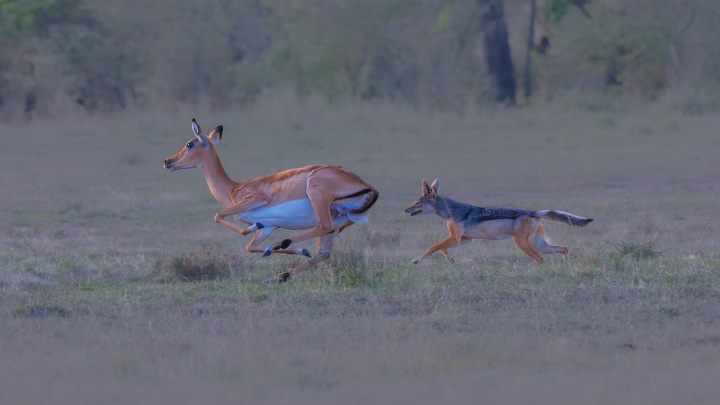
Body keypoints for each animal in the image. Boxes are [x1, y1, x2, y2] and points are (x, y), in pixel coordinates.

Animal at [164, 119, 379, 283]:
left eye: (189, 144)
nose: (167, 161)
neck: (233, 190)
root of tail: (368, 186)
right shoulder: (269, 225)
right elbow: (250, 246)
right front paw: (296, 251)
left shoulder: (255, 200)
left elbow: (220, 216)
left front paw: (256, 232)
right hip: (339, 219)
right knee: (323, 253)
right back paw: (277, 276)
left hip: (318, 198)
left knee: (322, 227)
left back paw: (277, 247)